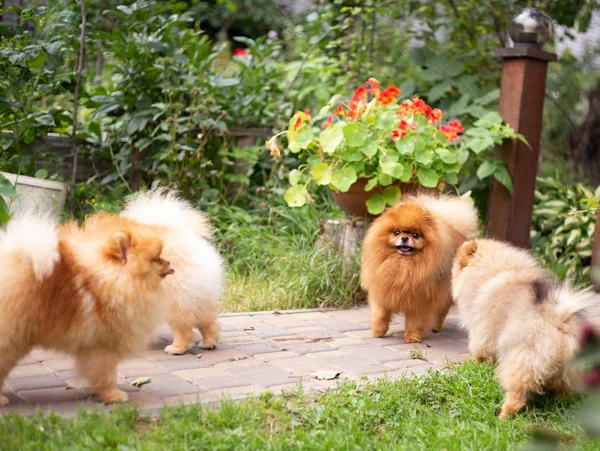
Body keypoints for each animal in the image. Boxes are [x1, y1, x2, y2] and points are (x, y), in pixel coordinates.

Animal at [0, 211, 173, 406]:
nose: (168, 262)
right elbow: (106, 373)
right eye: (156, 259)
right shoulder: (103, 345)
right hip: (12, 340)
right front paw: (113, 395)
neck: (113, 278)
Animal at [120, 189, 224, 354]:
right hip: (198, 297)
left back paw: (176, 348)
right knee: (208, 322)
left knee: (183, 327)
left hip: (174, 300)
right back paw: (209, 343)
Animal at [360, 194, 478, 342]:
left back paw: (436, 327)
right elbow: (380, 313)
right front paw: (378, 331)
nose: (405, 238)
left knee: (441, 311)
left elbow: (414, 321)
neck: (402, 265)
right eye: (396, 232)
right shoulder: (381, 289)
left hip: (444, 291)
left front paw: (412, 337)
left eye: (415, 235)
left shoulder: (419, 299)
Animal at [452, 240, 596, 420]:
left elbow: (480, 350)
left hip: (521, 358)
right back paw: (562, 402)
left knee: (517, 390)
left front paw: (473, 362)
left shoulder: (481, 330)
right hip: (568, 367)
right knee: (563, 386)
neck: (498, 270)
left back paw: (504, 415)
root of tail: (558, 318)